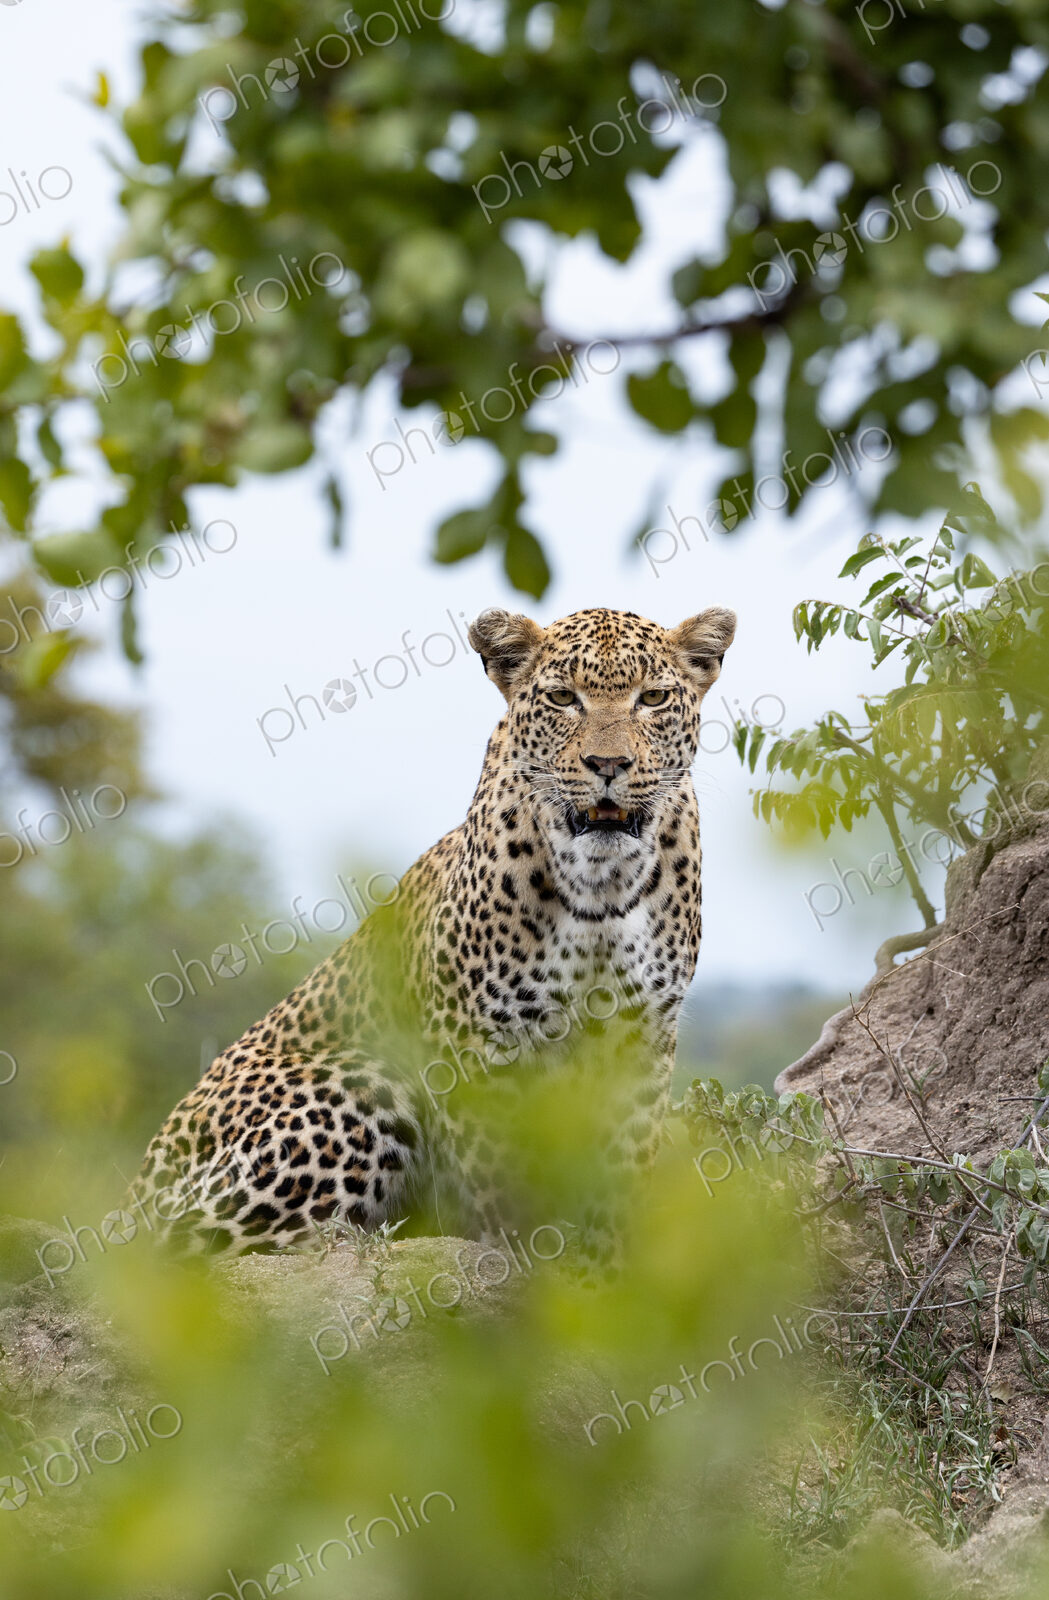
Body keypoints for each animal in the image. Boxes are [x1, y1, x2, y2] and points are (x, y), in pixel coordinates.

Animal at [129, 603, 736, 1268]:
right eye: (562, 698)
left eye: (652, 698)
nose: (608, 767)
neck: (600, 889)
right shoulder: (474, 1042)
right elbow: (500, 1181)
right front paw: (527, 1261)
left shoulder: (643, 1035)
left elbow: (622, 1175)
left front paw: (607, 1268)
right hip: (361, 1082)